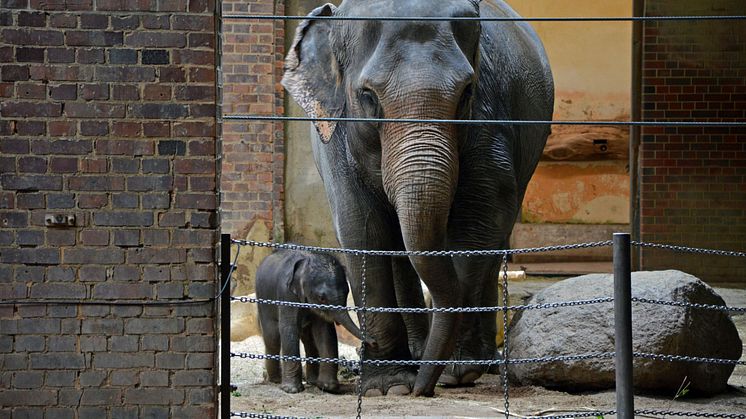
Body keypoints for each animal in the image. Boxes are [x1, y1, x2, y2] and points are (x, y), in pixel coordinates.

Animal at [258, 249, 370, 394]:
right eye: (321, 298)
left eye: (347, 292)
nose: (374, 343)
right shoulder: (286, 294)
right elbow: (289, 329)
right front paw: (292, 390)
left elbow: (325, 331)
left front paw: (327, 387)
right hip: (263, 301)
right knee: (272, 337)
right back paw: (275, 380)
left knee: (308, 341)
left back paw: (312, 381)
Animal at [282, 0, 548, 398]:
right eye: (368, 96)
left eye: (467, 91)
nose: (422, 390)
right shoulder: (338, 136)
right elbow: (362, 229)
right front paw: (388, 386)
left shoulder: (490, 121)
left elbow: (478, 220)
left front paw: (455, 372)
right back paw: (417, 357)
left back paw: (471, 363)